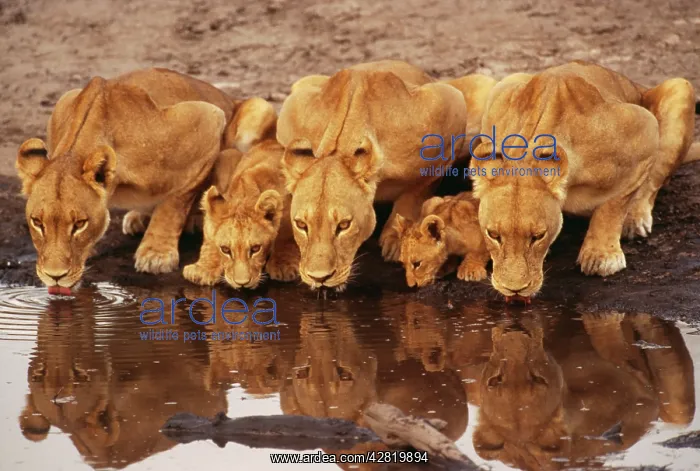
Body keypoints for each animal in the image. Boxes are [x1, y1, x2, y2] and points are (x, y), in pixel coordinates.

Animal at [15, 67, 276, 294]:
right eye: (37, 222)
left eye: (80, 223)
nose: (55, 276)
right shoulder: (63, 102)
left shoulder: (207, 120)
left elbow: (174, 202)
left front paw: (156, 254)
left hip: (258, 108)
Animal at [183, 138, 300, 289]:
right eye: (225, 249)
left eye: (256, 248)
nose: (242, 284)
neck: (246, 195)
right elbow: (209, 240)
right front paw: (203, 270)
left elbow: (286, 235)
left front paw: (283, 265)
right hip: (227, 154)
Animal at [277, 59, 496, 290]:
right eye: (301, 225)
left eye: (344, 225)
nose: (319, 277)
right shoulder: (293, 108)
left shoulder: (447, 107)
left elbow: (415, 192)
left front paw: (396, 240)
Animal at [469, 61, 698, 301]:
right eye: (493, 235)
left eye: (538, 236)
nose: (514, 290)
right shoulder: (499, 98)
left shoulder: (644, 128)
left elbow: (615, 203)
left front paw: (601, 257)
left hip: (680, 87)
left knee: (653, 180)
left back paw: (635, 220)